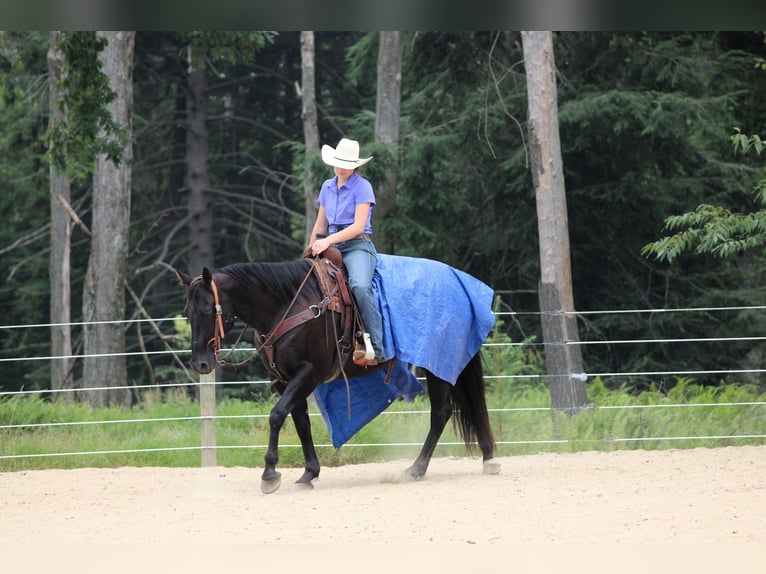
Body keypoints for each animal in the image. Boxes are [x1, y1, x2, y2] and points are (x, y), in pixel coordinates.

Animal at [176, 256, 500, 493]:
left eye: (209, 310)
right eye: (188, 312)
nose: (200, 363)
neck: (288, 305)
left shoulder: (309, 372)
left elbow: (277, 415)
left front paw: (269, 474)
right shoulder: (285, 380)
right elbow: (301, 423)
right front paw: (308, 474)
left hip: (437, 365)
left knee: (441, 413)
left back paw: (417, 469)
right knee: (466, 406)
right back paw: (488, 458)